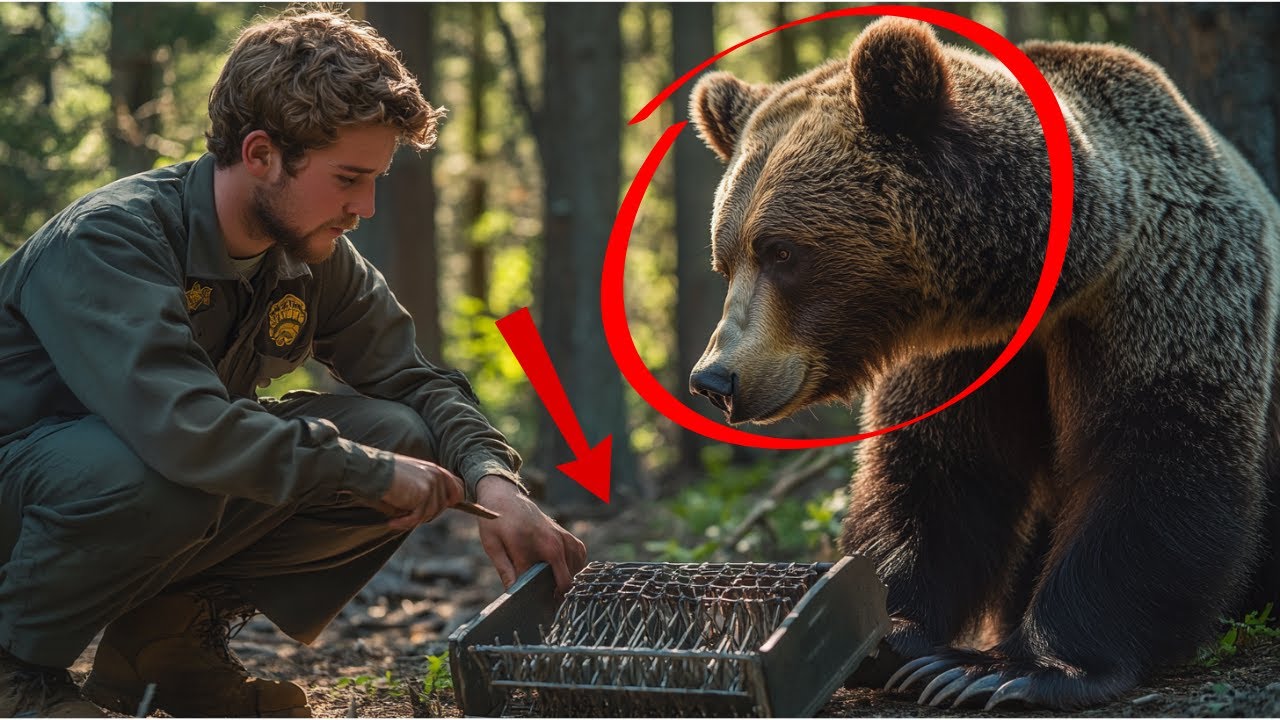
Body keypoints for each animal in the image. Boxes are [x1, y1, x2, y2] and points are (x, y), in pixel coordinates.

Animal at [687, 16, 1280, 710]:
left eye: (781, 251)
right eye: (725, 260)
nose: (715, 379)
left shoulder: (1161, 290)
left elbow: (1154, 459)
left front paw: (1004, 669)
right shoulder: (966, 354)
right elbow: (940, 472)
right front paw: (893, 634)